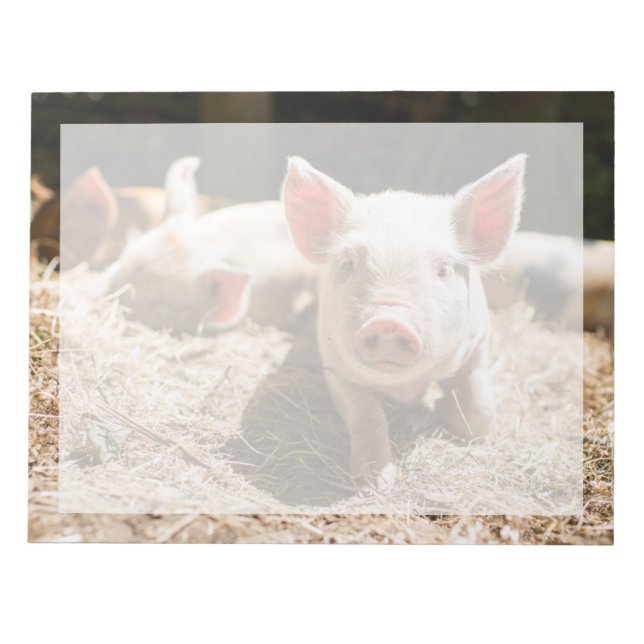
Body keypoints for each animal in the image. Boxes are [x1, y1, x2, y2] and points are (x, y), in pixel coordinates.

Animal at [282, 155, 527, 489]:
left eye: (444, 269)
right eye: (348, 263)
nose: (388, 321)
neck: (404, 387)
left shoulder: (478, 343)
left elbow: (479, 409)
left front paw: (450, 415)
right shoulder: (335, 365)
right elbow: (366, 414)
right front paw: (374, 483)